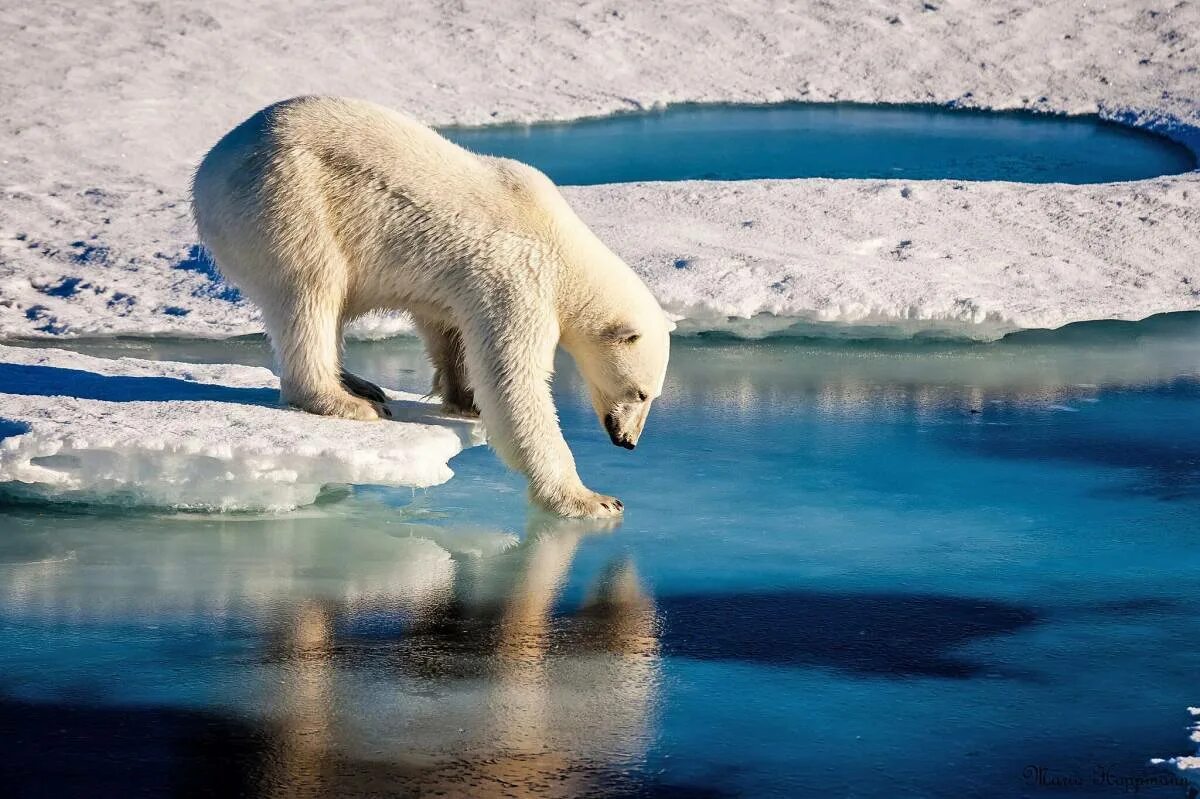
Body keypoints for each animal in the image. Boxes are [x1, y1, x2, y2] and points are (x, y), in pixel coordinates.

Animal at [192, 96, 672, 515]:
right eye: (640, 392)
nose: (628, 441)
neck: (562, 246)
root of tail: (209, 168)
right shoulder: (518, 278)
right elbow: (514, 382)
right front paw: (592, 499)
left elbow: (448, 329)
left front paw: (464, 399)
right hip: (288, 200)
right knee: (311, 291)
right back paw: (346, 401)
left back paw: (360, 384)